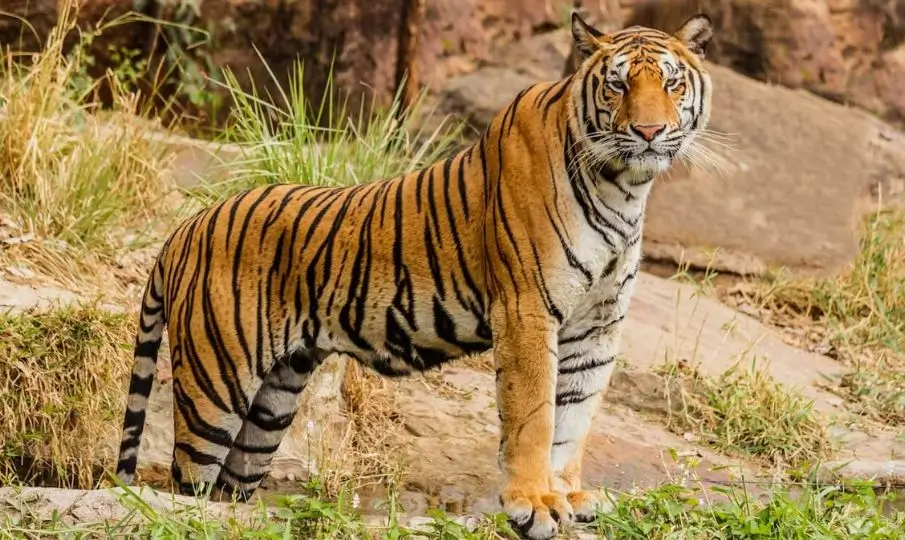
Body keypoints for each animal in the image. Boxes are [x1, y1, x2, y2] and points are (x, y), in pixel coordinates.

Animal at [115, 12, 714, 540]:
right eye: (617, 85)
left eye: (671, 82)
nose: (649, 130)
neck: (625, 187)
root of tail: (185, 227)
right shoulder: (527, 309)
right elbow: (535, 416)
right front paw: (534, 505)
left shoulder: (597, 326)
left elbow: (574, 419)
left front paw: (566, 495)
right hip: (215, 385)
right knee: (186, 485)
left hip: (272, 403)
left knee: (227, 490)